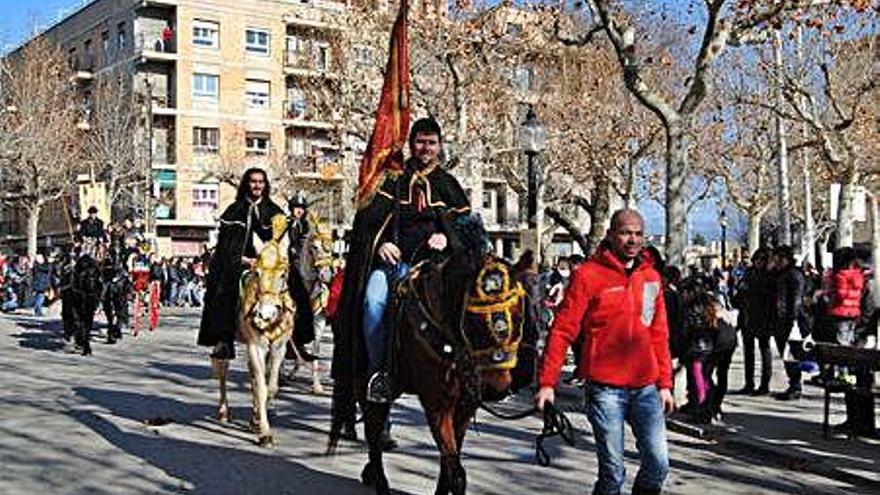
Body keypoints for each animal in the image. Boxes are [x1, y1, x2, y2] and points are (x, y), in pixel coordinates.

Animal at [213, 215, 296, 448]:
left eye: (283, 274)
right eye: (257, 272)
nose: (263, 314)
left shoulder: (278, 348)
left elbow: (271, 386)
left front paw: (258, 420)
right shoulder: (255, 346)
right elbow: (261, 386)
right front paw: (265, 433)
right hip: (224, 342)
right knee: (222, 369)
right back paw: (224, 411)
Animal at [328, 254, 524, 494]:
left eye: (519, 317)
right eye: (474, 321)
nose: (498, 389)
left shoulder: (465, 406)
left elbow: (449, 461)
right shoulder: (437, 404)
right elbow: (456, 470)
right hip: (362, 382)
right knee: (373, 430)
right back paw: (380, 481)